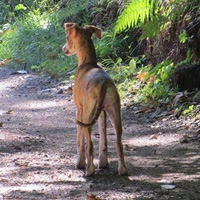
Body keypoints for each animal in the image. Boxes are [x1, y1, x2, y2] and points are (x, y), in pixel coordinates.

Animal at [62, 23, 127, 177]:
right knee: (118, 142)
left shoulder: (79, 110)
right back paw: (123, 170)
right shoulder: (102, 112)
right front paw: (103, 163)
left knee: (89, 144)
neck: (89, 63)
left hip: (87, 115)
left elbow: (80, 141)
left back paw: (89, 171)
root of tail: (103, 83)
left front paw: (79, 163)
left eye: (67, 37)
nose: (63, 48)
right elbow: (103, 139)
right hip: (114, 112)